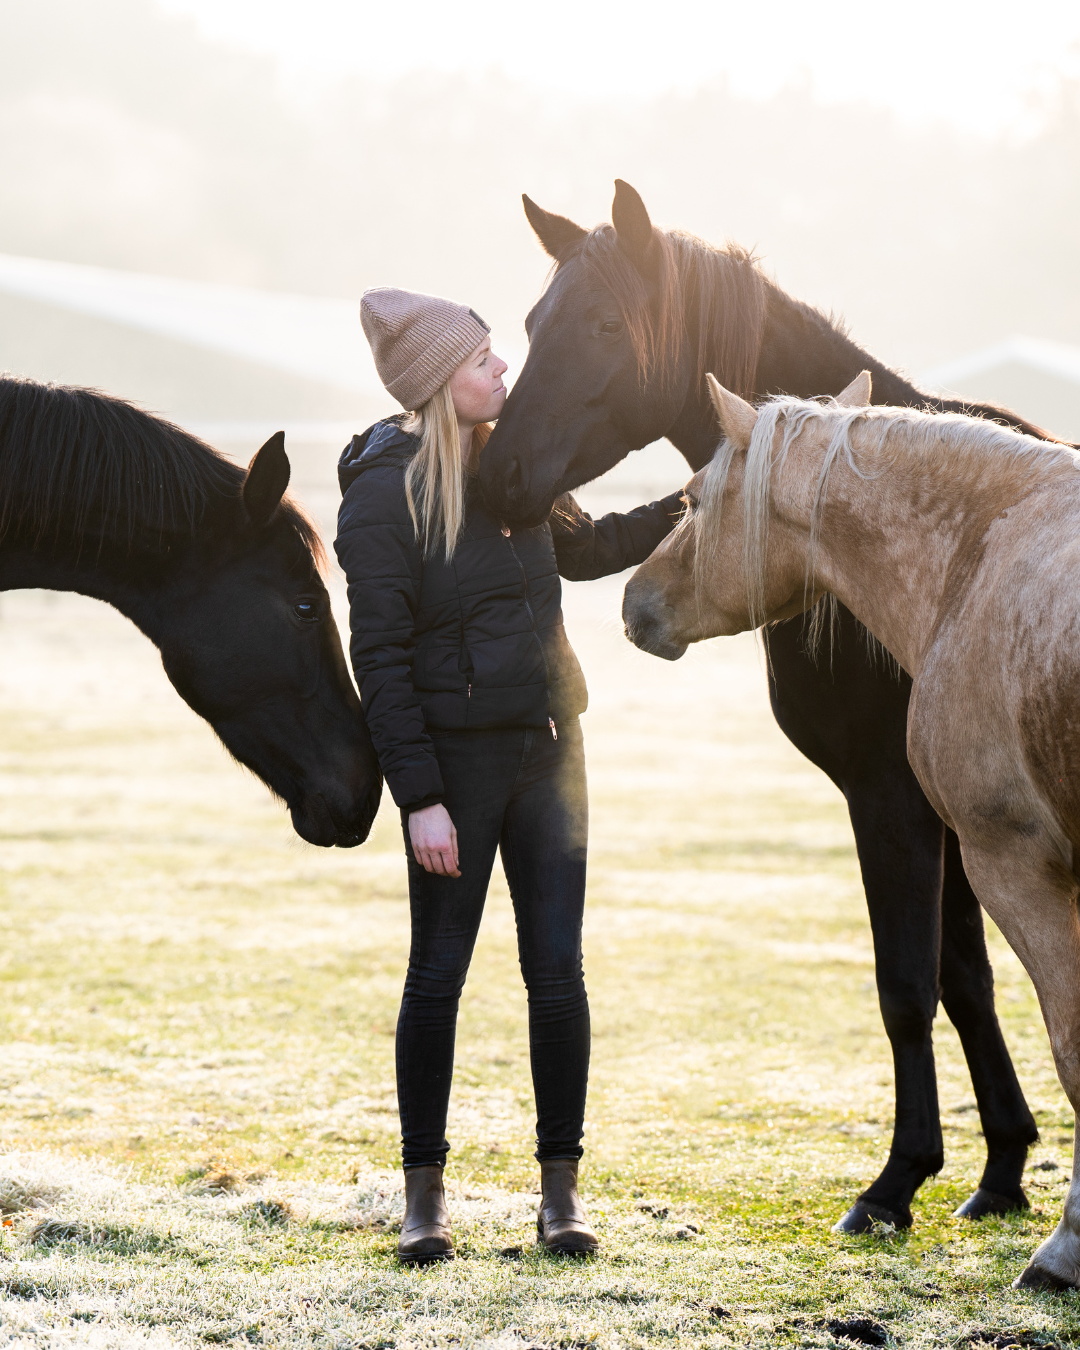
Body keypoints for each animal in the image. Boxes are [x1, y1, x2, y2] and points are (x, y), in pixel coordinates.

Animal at [479, 181, 1051, 1232]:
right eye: (534, 325)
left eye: (604, 323)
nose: (501, 480)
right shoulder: (945, 811)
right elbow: (966, 979)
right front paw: (999, 1168)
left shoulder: (892, 800)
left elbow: (906, 985)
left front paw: (897, 1180)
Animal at [624, 370, 1080, 1289]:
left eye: (692, 498)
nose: (632, 601)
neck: (976, 561)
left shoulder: (1010, 864)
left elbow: (1062, 1040)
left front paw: (1060, 1246)